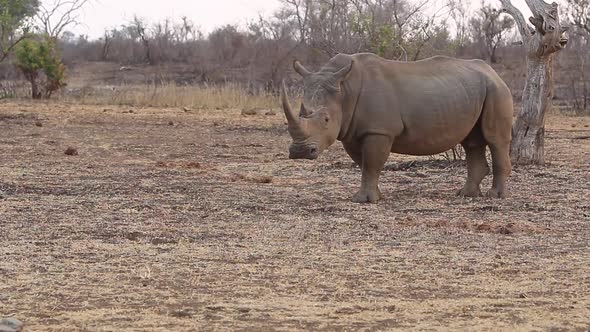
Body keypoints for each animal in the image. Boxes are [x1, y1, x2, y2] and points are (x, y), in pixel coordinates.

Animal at [282, 52, 512, 202]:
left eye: (326, 120)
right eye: (301, 113)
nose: (300, 152)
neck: (344, 90)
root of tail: (493, 72)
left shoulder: (379, 130)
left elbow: (371, 163)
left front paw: (363, 200)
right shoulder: (353, 131)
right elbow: (364, 163)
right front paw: (374, 196)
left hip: (497, 90)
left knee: (495, 140)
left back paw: (495, 197)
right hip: (473, 90)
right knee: (472, 142)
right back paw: (466, 195)